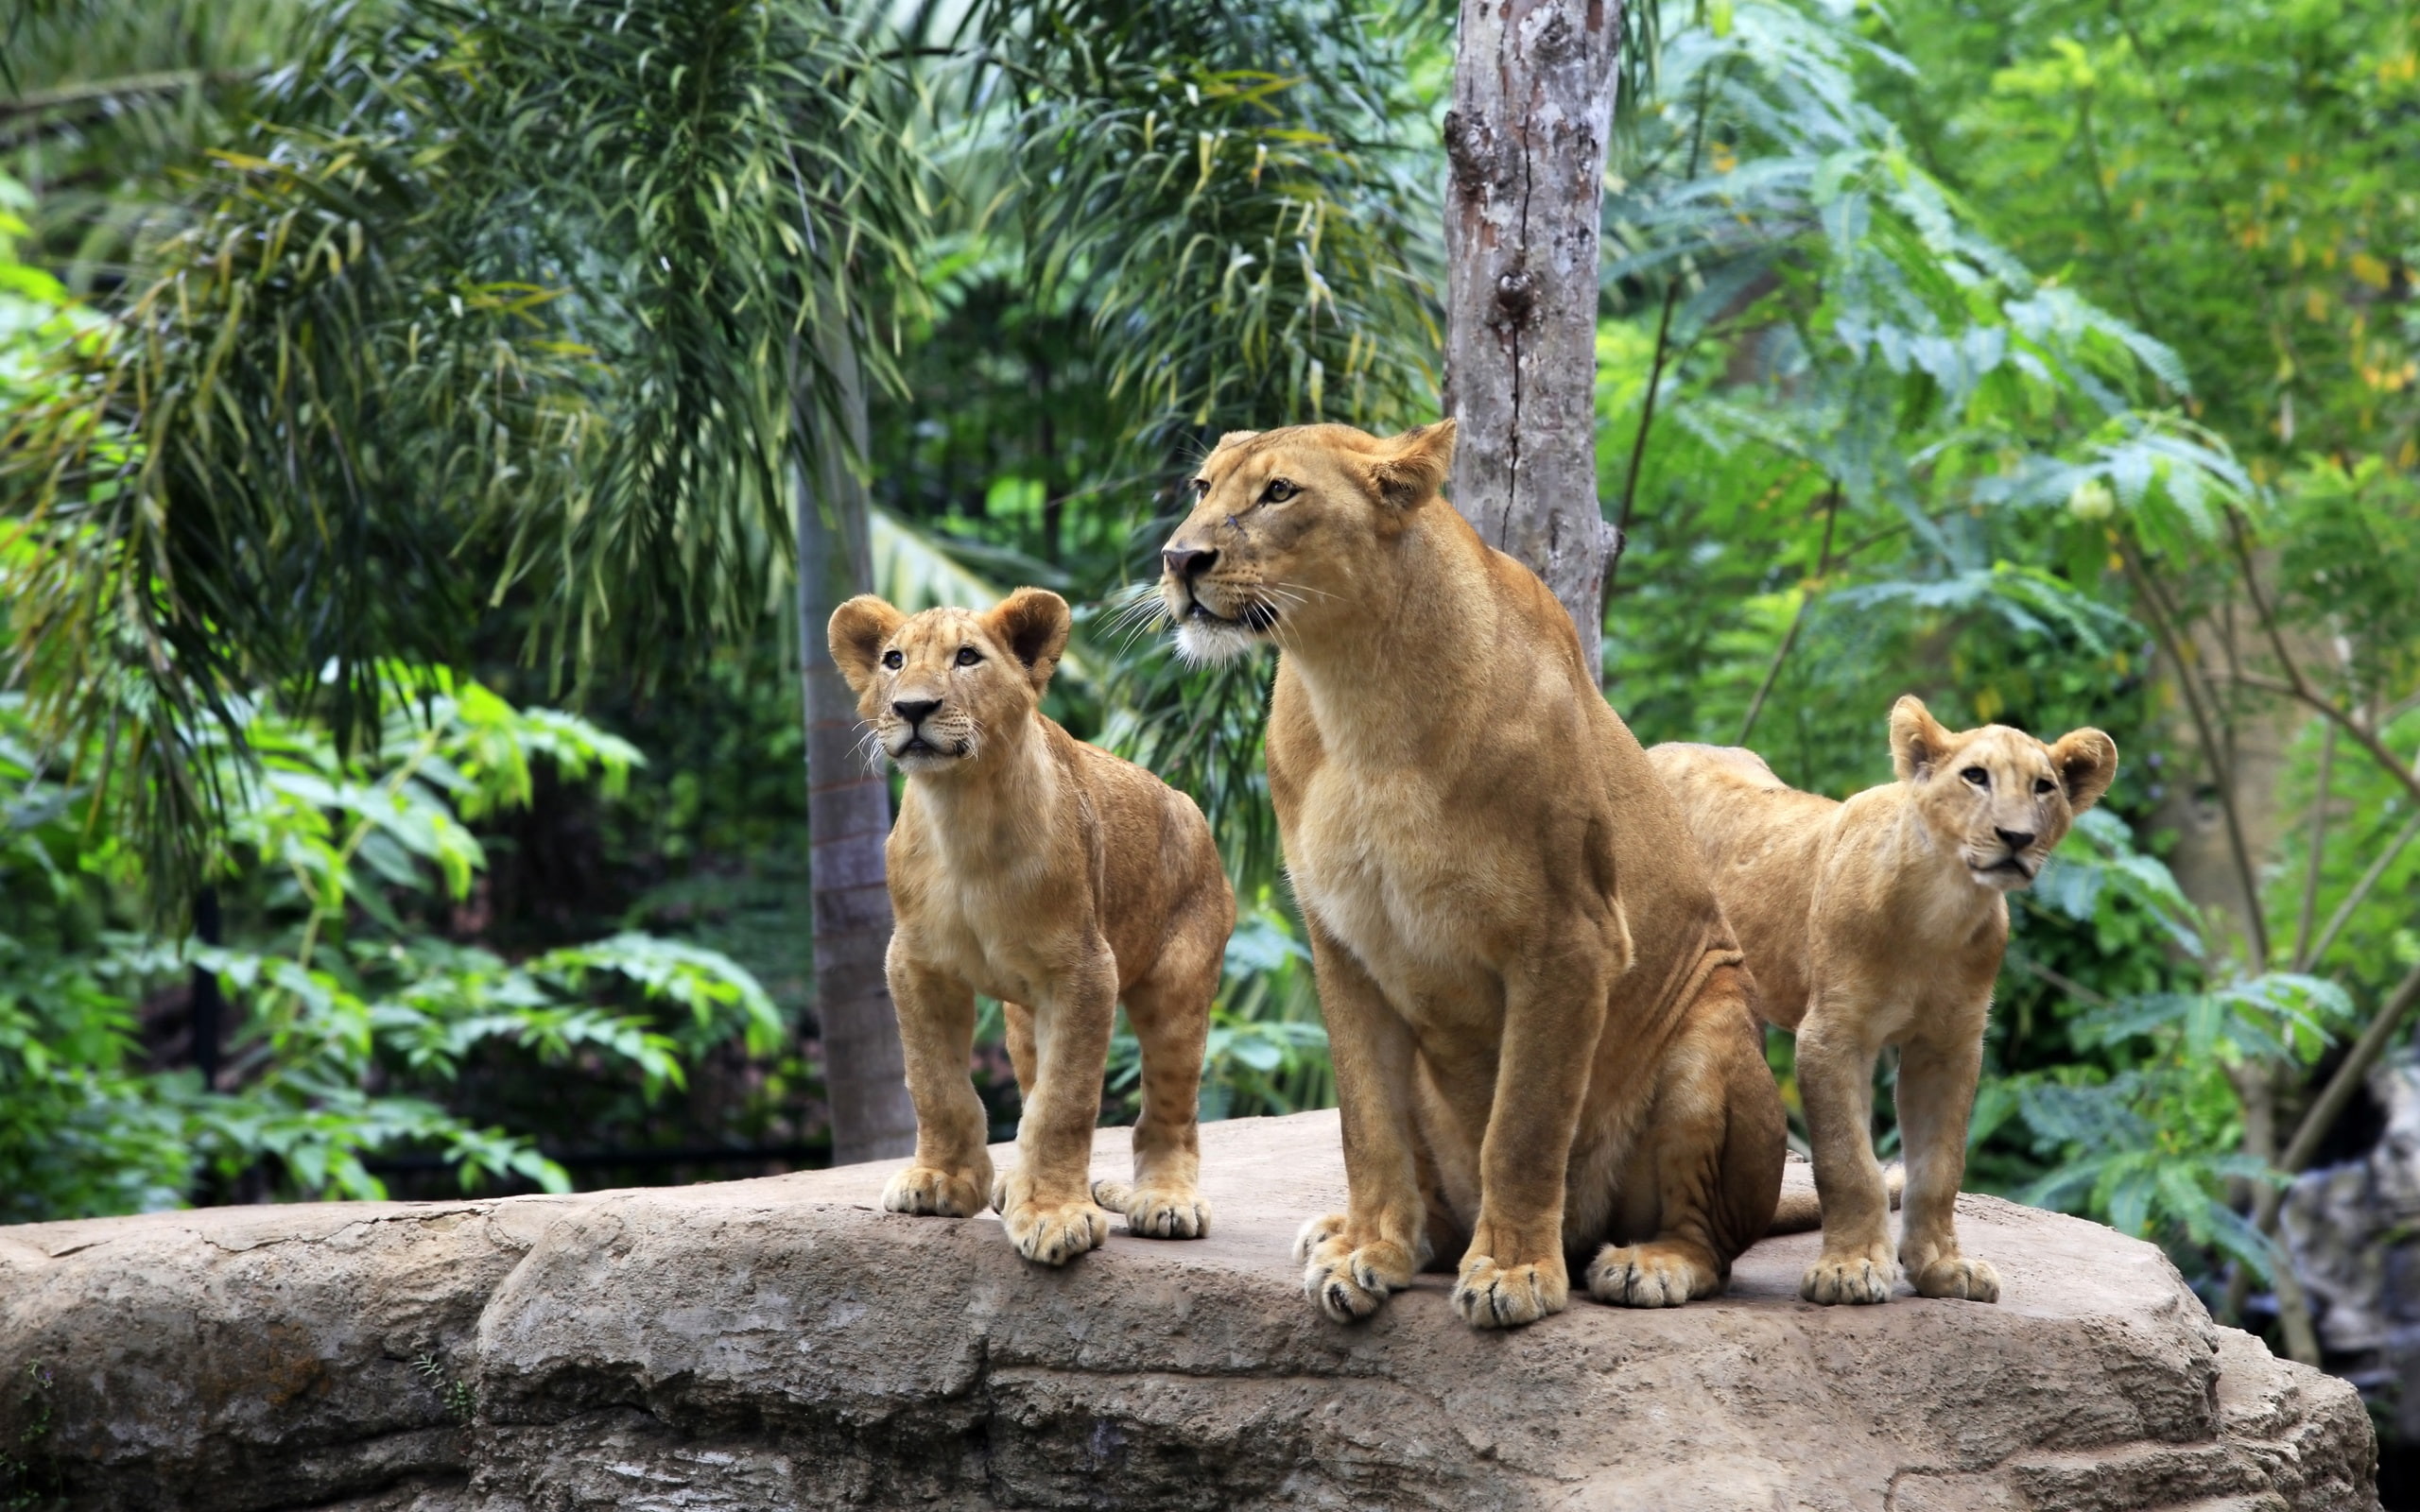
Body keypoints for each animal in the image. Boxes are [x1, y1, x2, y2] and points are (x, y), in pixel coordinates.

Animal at [828, 588, 1235, 1266]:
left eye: (968, 658)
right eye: (893, 660)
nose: (912, 707)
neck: (961, 813)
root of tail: (1189, 808)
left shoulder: (1085, 972)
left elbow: (1062, 1103)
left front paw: (1052, 1215)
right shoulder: (915, 964)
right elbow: (936, 1083)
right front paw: (941, 1182)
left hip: (1179, 986)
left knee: (1170, 1108)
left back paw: (1166, 1201)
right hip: (1021, 1016)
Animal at [1158, 419, 1786, 1328]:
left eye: (1280, 493)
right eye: (1203, 487)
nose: (1179, 559)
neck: (1356, 689)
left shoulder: (1570, 940)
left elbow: (1522, 1127)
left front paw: (1514, 1272)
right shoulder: (1342, 943)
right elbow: (1365, 1124)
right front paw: (1367, 1253)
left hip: (1712, 1033)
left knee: (1712, 1239)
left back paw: (1649, 1262)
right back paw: (1365, 1234)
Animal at [1649, 698, 2117, 1304]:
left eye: (2044, 787)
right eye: (1975, 776)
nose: (2015, 837)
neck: (1942, 911)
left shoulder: (1949, 1045)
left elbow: (1940, 1167)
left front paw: (1943, 1267)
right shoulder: (1832, 1035)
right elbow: (1847, 1160)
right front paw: (1848, 1269)